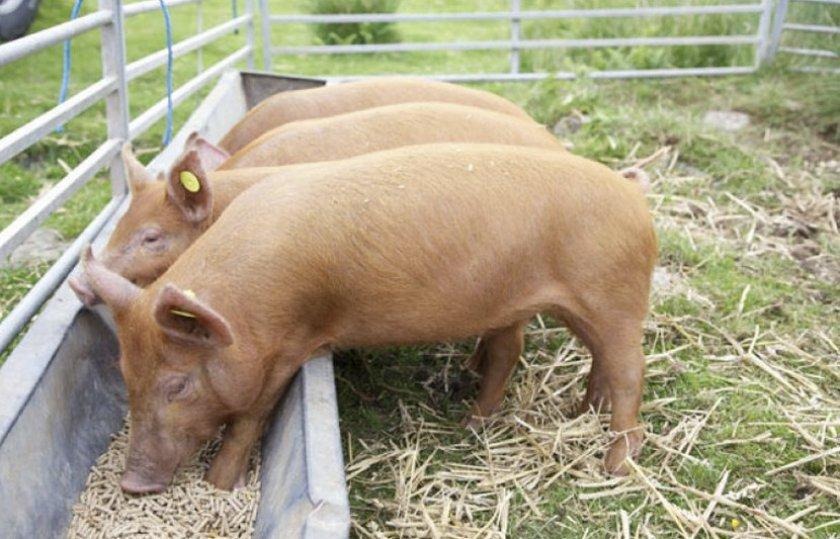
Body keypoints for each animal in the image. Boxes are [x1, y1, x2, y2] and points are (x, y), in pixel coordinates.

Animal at [80, 142, 656, 494]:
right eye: (127, 377)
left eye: (177, 384)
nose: (133, 485)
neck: (249, 308)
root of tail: (632, 192)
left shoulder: (289, 344)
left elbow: (249, 417)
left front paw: (220, 486)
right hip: (566, 304)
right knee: (570, 358)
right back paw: (545, 415)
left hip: (615, 296)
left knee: (631, 369)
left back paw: (615, 466)